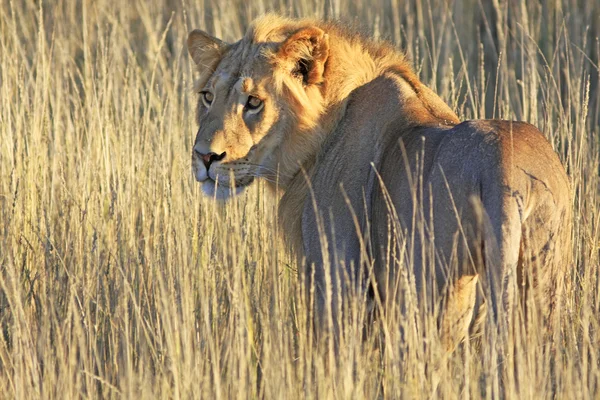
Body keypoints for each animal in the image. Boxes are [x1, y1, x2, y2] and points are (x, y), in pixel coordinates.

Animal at [188, 14, 572, 348]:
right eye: (207, 97)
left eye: (254, 102)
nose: (205, 157)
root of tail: (505, 173)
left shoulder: (338, 279)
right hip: (541, 273)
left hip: (438, 283)